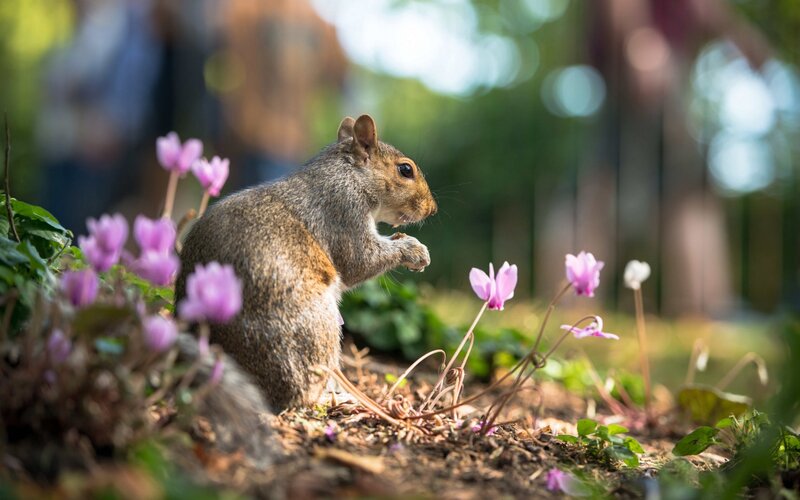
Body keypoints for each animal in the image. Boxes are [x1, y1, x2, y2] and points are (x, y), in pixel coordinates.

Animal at [176, 115, 437, 411]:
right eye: (405, 170)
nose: (432, 209)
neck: (348, 174)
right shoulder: (343, 211)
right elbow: (360, 261)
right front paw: (414, 250)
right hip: (316, 327)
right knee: (301, 394)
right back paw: (336, 397)